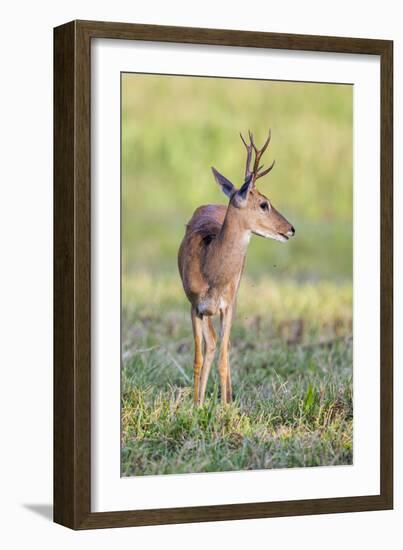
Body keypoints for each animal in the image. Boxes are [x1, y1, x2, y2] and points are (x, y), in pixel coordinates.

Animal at [178, 129, 296, 406]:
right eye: (264, 203)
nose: (290, 229)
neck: (210, 269)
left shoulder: (228, 305)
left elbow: (222, 357)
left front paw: (224, 407)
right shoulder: (194, 305)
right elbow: (198, 358)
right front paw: (195, 406)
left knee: (223, 346)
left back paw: (228, 398)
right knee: (211, 344)